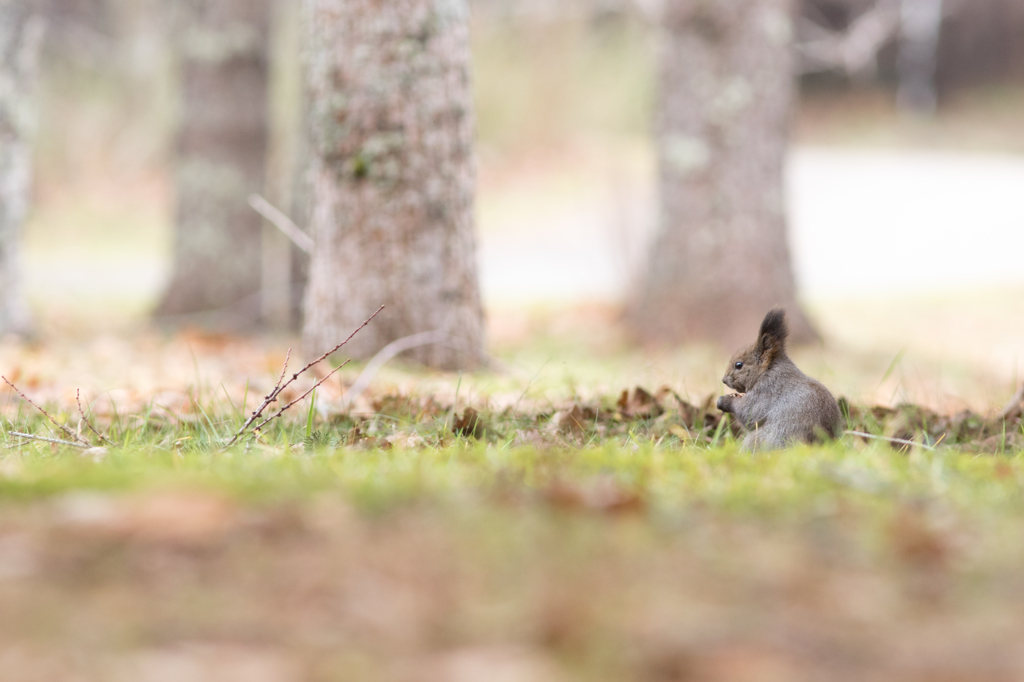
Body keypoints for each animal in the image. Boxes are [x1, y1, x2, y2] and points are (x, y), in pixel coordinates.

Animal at [716, 309, 843, 450]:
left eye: (739, 365)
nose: (724, 380)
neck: (766, 371)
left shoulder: (766, 390)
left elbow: (748, 412)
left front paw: (724, 401)